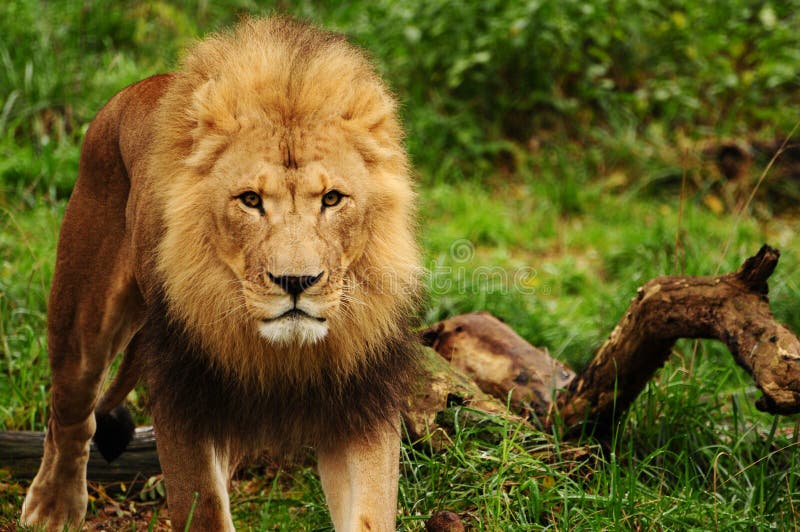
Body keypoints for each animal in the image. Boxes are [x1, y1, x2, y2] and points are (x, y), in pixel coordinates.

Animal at [20, 17, 421, 531]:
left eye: (332, 198)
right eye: (250, 200)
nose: (296, 283)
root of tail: (133, 90)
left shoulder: (360, 403)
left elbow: (369, 511)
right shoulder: (186, 399)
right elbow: (204, 506)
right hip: (82, 317)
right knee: (71, 415)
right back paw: (53, 506)